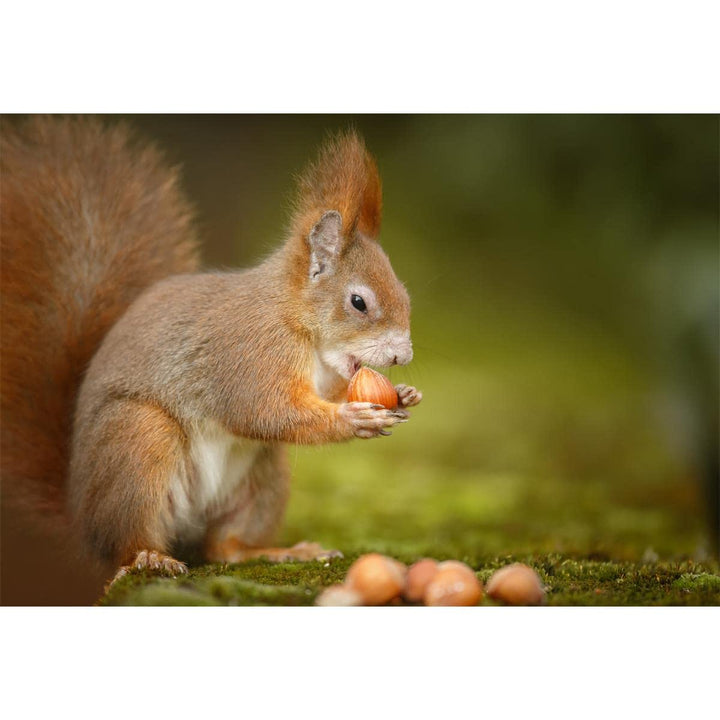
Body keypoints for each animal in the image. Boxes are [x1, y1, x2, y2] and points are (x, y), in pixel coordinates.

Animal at [0, 114, 420, 584]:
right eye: (359, 302)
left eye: (404, 294)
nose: (403, 356)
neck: (297, 324)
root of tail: (80, 518)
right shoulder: (250, 352)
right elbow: (266, 410)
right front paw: (353, 418)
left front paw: (404, 395)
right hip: (139, 440)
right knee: (128, 541)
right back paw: (149, 558)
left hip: (263, 476)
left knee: (224, 548)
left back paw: (279, 552)